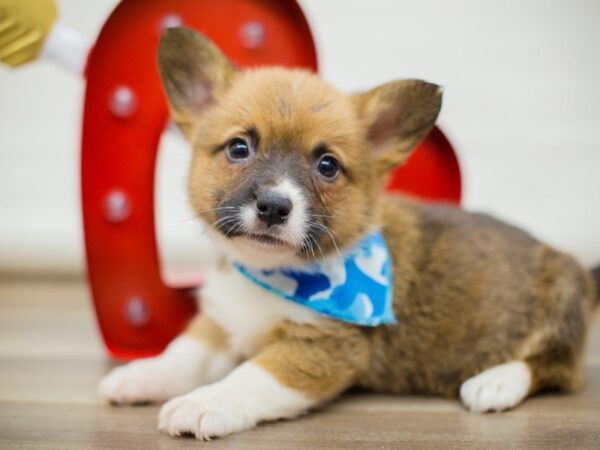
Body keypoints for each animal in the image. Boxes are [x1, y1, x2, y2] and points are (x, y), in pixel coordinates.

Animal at [96, 28, 596, 440]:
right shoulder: (221, 322)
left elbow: (251, 376)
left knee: (552, 366)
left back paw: (495, 382)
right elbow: (185, 352)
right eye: (239, 147)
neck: (271, 273)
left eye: (327, 166)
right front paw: (142, 375)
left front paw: (204, 402)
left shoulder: (318, 351)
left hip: (561, 300)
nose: (274, 207)